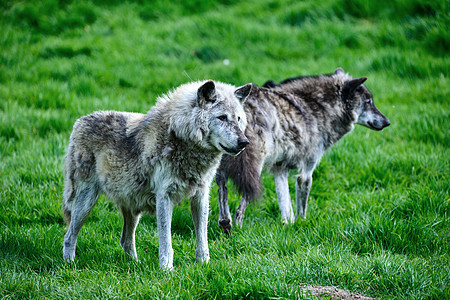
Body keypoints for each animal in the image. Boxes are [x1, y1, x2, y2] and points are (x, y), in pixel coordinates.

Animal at [62, 79, 253, 268]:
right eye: (222, 117)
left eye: (238, 118)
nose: (244, 142)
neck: (181, 138)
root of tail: (80, 121)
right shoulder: (164, 197)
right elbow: (166, 240)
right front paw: (166, 270)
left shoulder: (200, 196)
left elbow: (202, 238)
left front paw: (203, 264)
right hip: (86, 203)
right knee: (69, 236)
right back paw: (70, 265)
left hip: (132, 209)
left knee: (125, 240)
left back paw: (135, 265)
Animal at [216, 68, 388, 232]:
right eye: (368, 102)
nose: (387, 122)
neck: (319, 108)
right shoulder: (305, 173)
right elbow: (301, 209)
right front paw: (301, 225)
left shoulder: (280, 170)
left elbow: (286, 207)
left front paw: (287, 226)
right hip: (253, 171)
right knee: (240, 209)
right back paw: (237, 228)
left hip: (222, 170)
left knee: (223, 190)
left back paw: (225, 223)